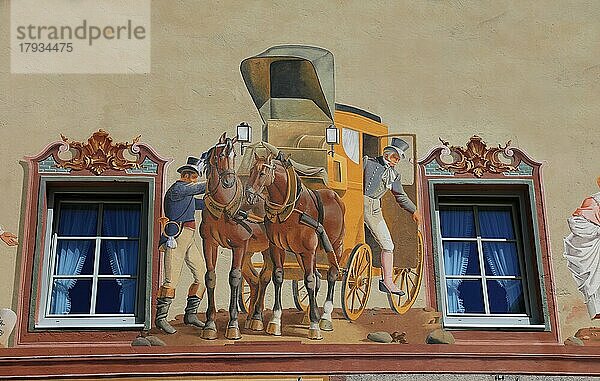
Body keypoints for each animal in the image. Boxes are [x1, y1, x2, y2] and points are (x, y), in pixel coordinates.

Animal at [202, 133, 272, 338]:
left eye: (233, 155)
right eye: (219, 156)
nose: (228, 182)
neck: (224, 207)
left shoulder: (239, 246)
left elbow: (234, 278)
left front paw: (233, 325)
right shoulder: (209, 243)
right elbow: (210, 276)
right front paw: (209, 324)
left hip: (268, 249)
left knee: (266, 277)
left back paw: (258, 317)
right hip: (251, 252)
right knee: (256, 280)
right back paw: (250, 318)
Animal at [245, 151, 346, 338]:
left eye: (262, 173)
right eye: (250, 171)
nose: (248, 195)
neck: (290, 209)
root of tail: (335, 196)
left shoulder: (308, 251)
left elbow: (309, 281)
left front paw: (315, 325)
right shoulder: (277, 247)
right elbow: (278, 277)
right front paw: (275, 321)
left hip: (336, 246)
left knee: (331, 275)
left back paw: (325, 317)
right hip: (302, 254)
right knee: (318, 276)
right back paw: (310, 315)